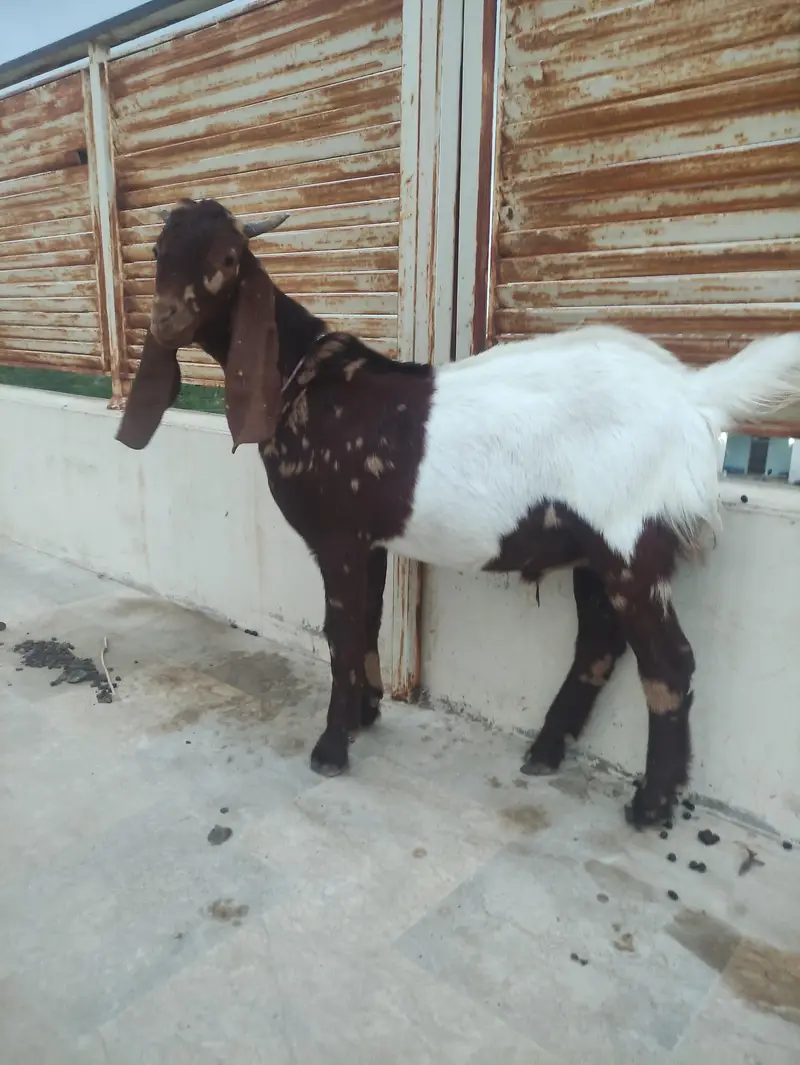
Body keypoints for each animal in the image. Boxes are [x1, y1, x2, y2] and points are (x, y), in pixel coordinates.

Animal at [117, 198, 800, 828]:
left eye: (228, 259)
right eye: (157, 251)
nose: (166, 319)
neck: (307, 379)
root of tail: (694, 393)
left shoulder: (337, 536)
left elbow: (342, 632)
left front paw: (332, 747)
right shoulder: (370, 539)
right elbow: (369, 621)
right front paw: (366, 715)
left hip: (631, 541)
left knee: (669, 662)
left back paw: (650, 804)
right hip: (595, 549)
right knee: (600, 644)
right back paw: (547, 751)